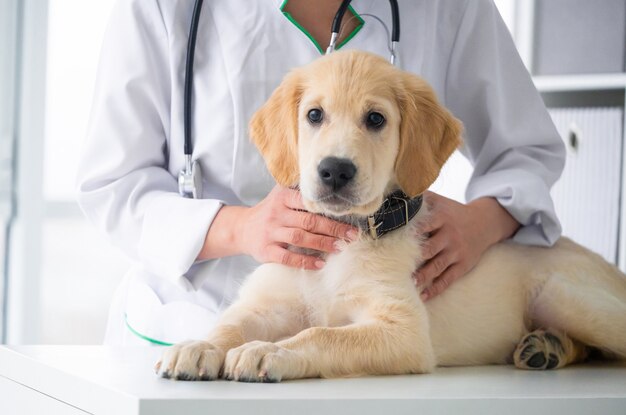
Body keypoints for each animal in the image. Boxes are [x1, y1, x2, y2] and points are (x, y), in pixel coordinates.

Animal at [155, 49, 624, 384]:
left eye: (376, 119)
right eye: (314, 115)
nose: (335, 170)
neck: (341, 239)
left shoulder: (404, 331)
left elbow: (321, 334)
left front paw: (271, 350)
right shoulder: (266, 304)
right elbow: (230, 323)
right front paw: (199, 345)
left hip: (568, 298)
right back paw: (546, 348)